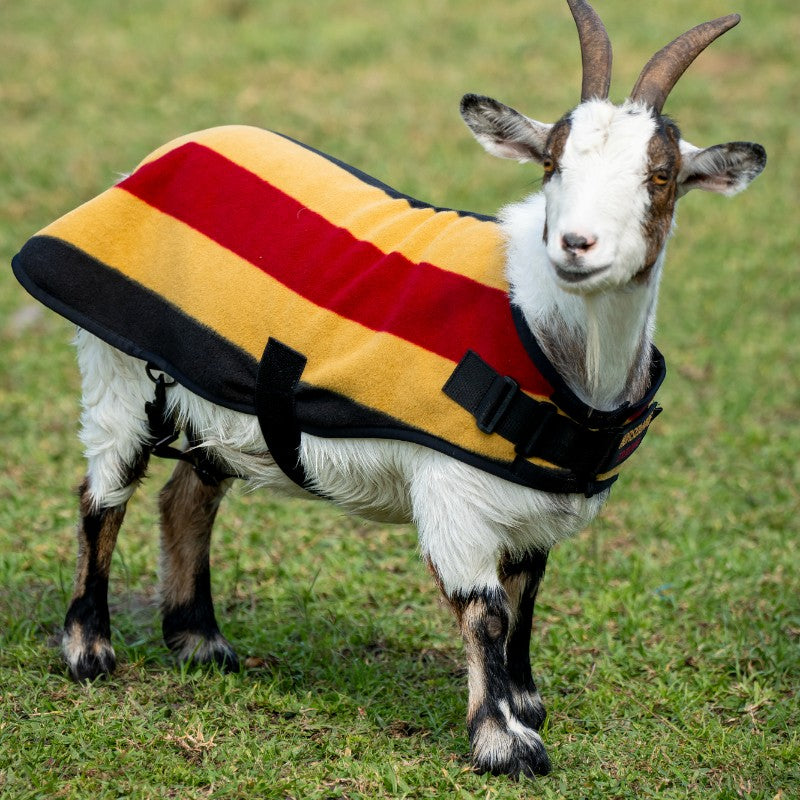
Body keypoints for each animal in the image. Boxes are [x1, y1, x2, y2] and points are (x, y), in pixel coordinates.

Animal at [12, 0, 765, 779]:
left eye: (660, 176)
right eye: (552, 164)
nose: (576, 245)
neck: (546, 333)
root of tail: (155, 159)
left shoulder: (533, 500)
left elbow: (526, 598)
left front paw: (525, 704)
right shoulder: (453, 492)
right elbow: (487, 609)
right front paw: (503, 743)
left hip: (222, 397)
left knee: (187, 496)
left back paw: (200, 641)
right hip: (119, 368)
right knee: (104, 493)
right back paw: (89, 648)